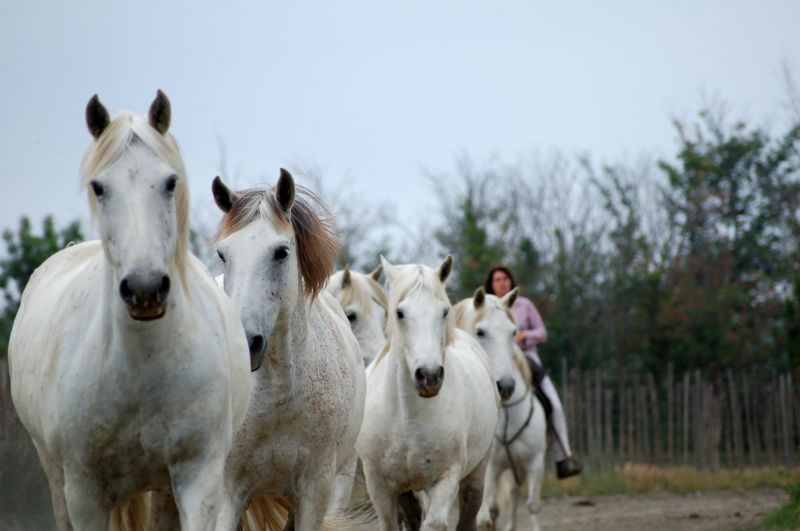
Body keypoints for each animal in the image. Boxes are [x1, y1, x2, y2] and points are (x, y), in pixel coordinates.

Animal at [7, 92, 252, 531]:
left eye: (170, 182)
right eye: (99, 187)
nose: (145, 289)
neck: (142, 361)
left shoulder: (199, 478)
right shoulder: (84, 492)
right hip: (56, 476)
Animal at [358, 258, 500, 531]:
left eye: (444, 312)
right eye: (400, 313)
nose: (430, 376)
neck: (407, 415)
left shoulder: (446, 479)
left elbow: (434, 523)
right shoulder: (380, 488)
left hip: (475, 478)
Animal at [454, 288, 548, 531]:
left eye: (513, 332)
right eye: (480, 331)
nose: (505, 386)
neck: (509, 418)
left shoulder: (535, 462)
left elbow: (533, 505)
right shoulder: (491, 469)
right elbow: (490, 512)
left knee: (514, 495)